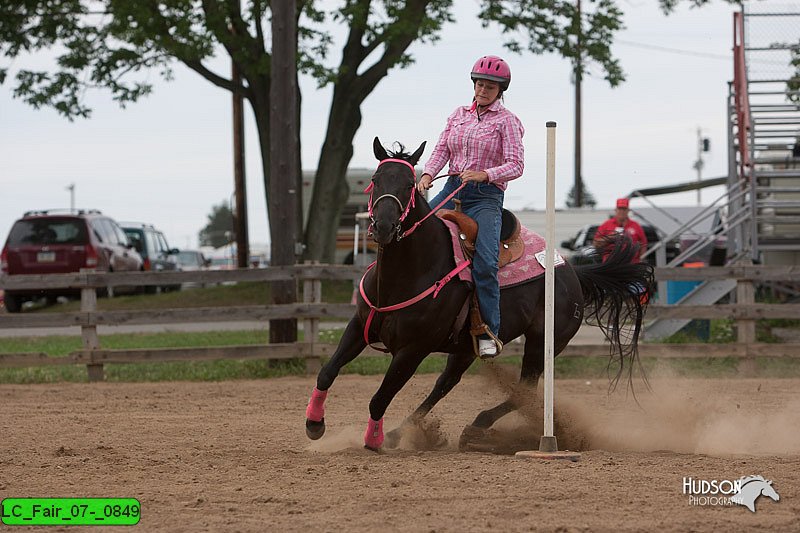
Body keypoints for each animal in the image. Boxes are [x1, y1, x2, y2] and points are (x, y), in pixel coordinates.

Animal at [304, 136, 652, 448]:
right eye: (376, 181)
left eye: (409, 185)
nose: (385, 227)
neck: (406, 274)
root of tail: (572, 272)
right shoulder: (358, 328)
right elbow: (326, 372)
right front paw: (314, 424)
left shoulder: (412, 350)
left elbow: (380, 397)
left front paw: (372, 440)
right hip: (466, 349)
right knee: (446, 384)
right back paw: (403, 433)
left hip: (544, 342)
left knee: (524, 391)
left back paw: (475, 427)